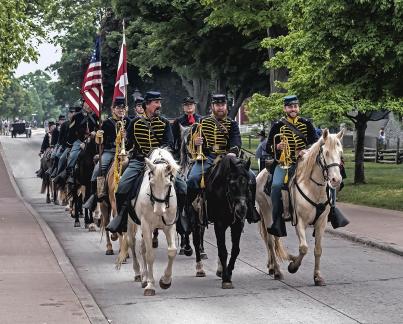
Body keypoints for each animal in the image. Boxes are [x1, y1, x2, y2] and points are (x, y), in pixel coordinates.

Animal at [117, 147, 180, 296]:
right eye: (151, 183)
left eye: (168, 184)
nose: (159, 211)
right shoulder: (146, 225)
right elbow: (150, 254)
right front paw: (151, 285)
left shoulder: (170, 225)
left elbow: (172, 251)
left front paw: (165, 280)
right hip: (131, 223)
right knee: (132, 243)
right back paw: (139, 274)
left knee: (142, 248)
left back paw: (145, 277)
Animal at [207, 154, 251, 288]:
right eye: (232, 185)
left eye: (248, 184)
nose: (242, 209)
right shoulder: (219, 224)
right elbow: (223, 251)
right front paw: (226, 279)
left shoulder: (238, 224)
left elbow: (235, 250)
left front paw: (228, 272)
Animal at [256, 129, 344, 286]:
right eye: (326, 152)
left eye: (340, 153)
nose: (336, 180)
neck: (314, 189)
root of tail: (261, 174)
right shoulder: (300, 222)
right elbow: (303, 248)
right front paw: (293, 266)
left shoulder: (321, 223)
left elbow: (318, 249)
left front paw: (317, 277)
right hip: (267, 214)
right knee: (270, 242)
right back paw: (277, 271)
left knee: (274, 240)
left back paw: (273, 267)